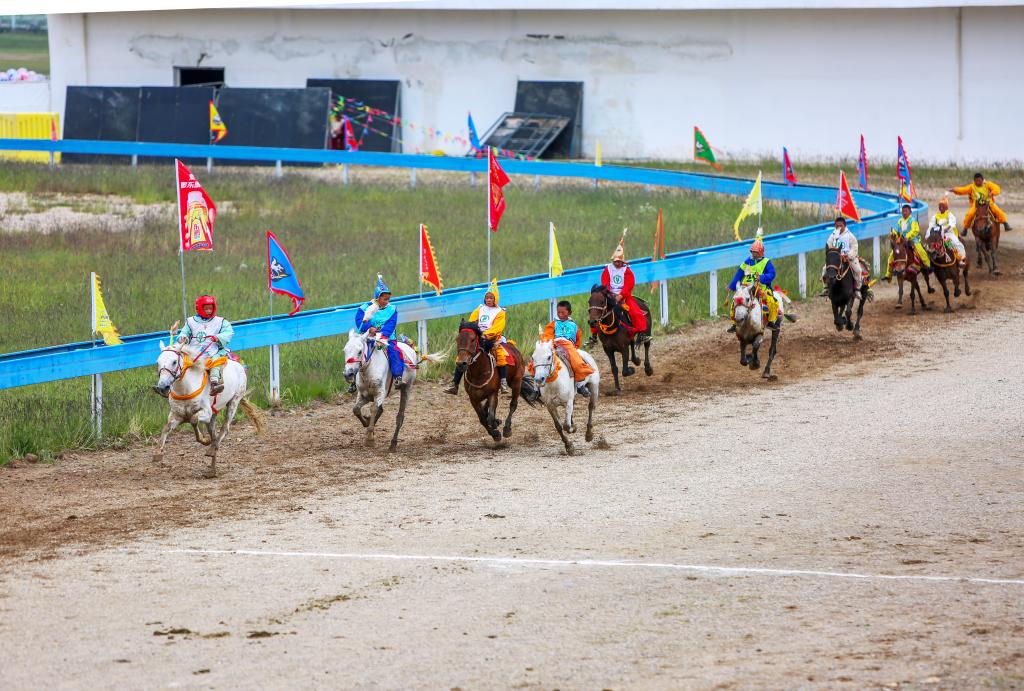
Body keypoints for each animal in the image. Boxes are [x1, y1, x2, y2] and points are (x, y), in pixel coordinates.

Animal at [152, 339, 264, 477]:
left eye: (174, 362)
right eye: (158, 362)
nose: (162, 387)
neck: (186, 389)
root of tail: (238, 365)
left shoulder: (206, 412)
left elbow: (193, 420)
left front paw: (204, 440)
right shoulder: (176, 415)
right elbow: (166, 428)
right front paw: (158, 453)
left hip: (234, 401)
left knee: (224, 429)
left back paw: (211, 450)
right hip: (214, 415)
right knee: (214, 434)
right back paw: (212, 469)